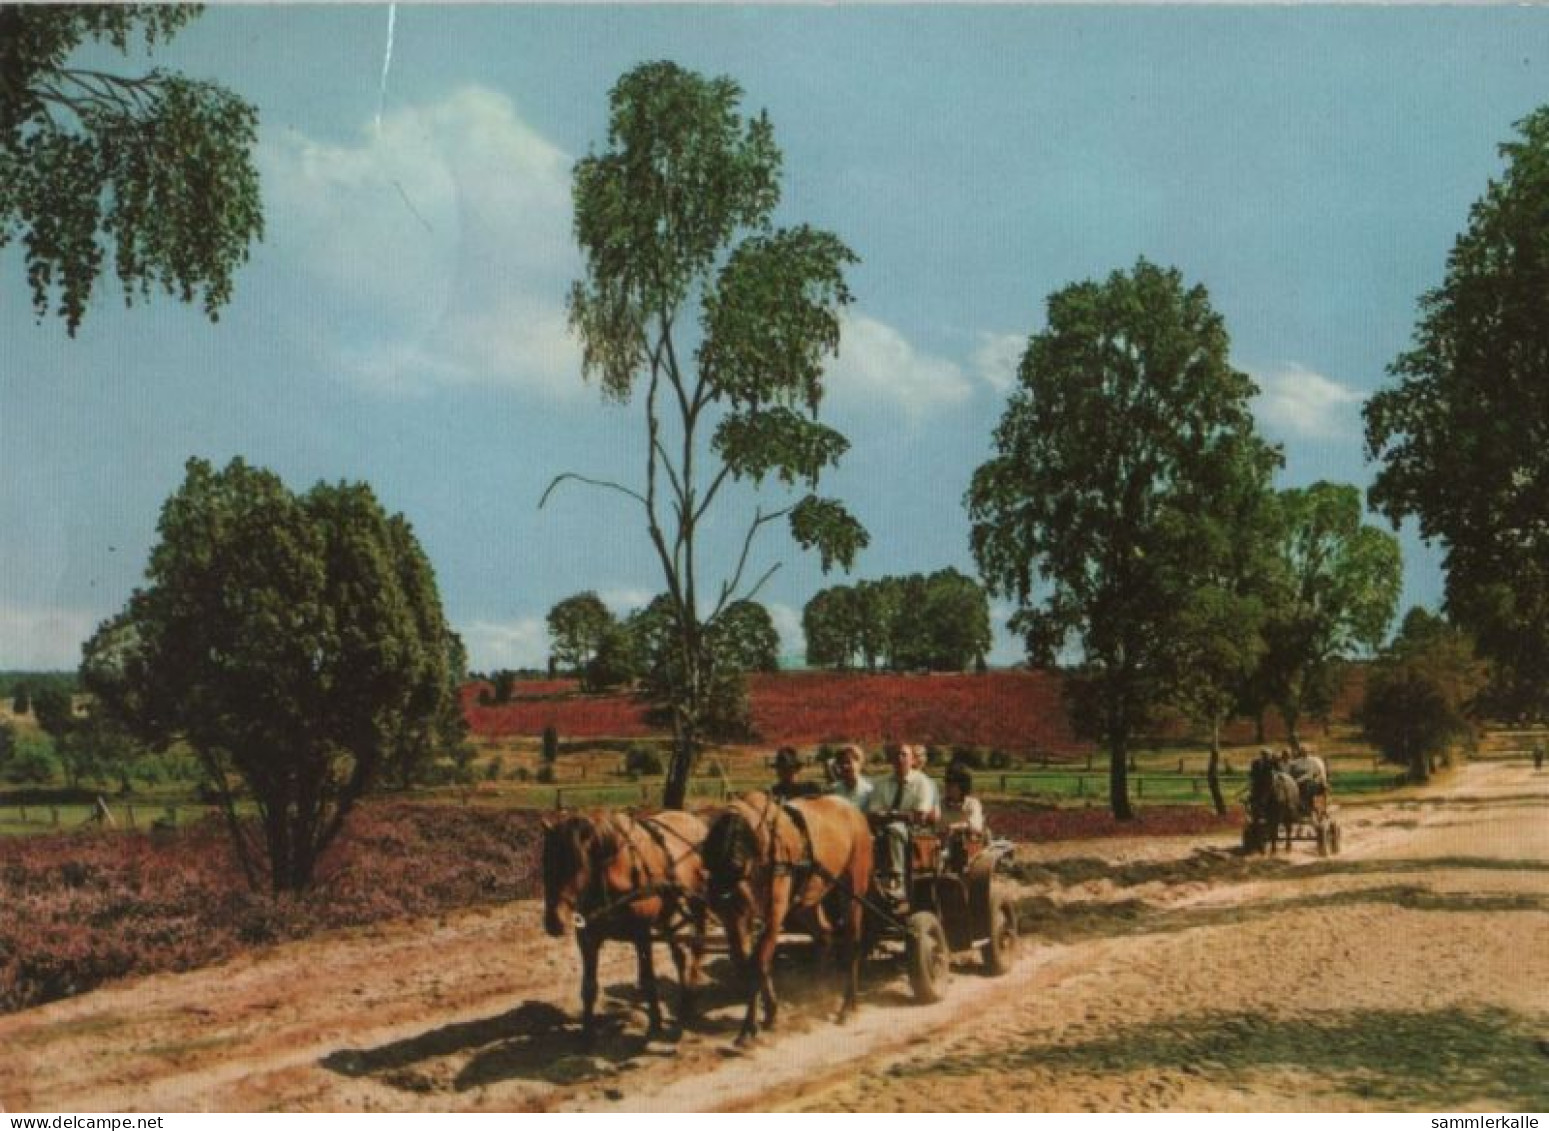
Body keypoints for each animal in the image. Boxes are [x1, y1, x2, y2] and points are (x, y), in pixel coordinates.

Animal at [539, 811, 709, 1041]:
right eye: (545, 863)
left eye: (576, 865)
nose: (554, 922)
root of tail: (695, 819)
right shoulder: (588, 938)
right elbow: (589, 987)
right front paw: (587, 1034)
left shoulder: (642, 934)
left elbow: (648, 980)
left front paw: (655, 1023)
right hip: (668, 912)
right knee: (679, 955)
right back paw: (684, 1000)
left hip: (697, 903)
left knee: (697, 947)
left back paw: (692, 992)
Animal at [703, 790, 873, 1041]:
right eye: (708, 865)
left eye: (736, 866)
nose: (718, 899)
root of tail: (853, 811)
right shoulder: (737, 919)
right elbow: (747, 964)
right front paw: (769, 1014)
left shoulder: (773, 914)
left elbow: (758, 962)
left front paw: (749, 1028)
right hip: (807, 901)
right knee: (824, 935)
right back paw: (817, 993)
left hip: (853, 889)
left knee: (853, 941)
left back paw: (846, 1006)